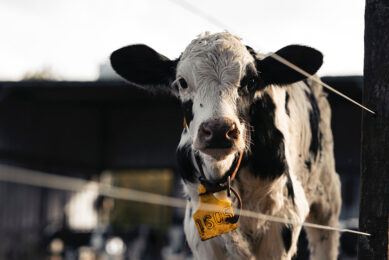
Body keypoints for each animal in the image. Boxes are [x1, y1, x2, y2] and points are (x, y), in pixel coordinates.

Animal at [109, 31, 340, 258]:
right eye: (182, 82)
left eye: (251, 81)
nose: (219, 131)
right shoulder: (198, 231)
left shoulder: (283, 218)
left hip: (327, 200)